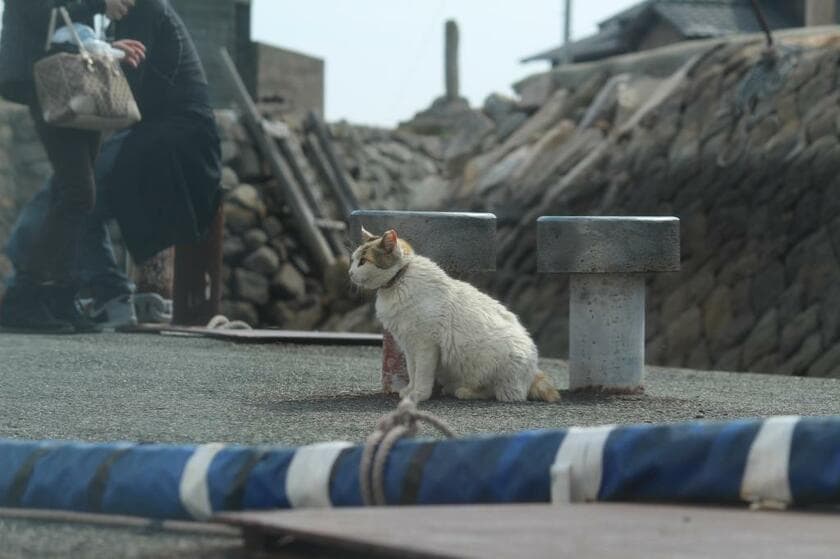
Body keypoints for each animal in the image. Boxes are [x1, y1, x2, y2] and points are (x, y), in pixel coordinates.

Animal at [348, 228, 556, 402]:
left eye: (363, 261)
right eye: (353, 260)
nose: (349, 273)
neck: (399, 280)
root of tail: (533, 370)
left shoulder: (426, 345)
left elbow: (421, 374)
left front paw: (418, 395)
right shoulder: (408, 345)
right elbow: (412, 370)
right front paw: (409, 390)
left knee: (504, 393)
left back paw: (466, 391)